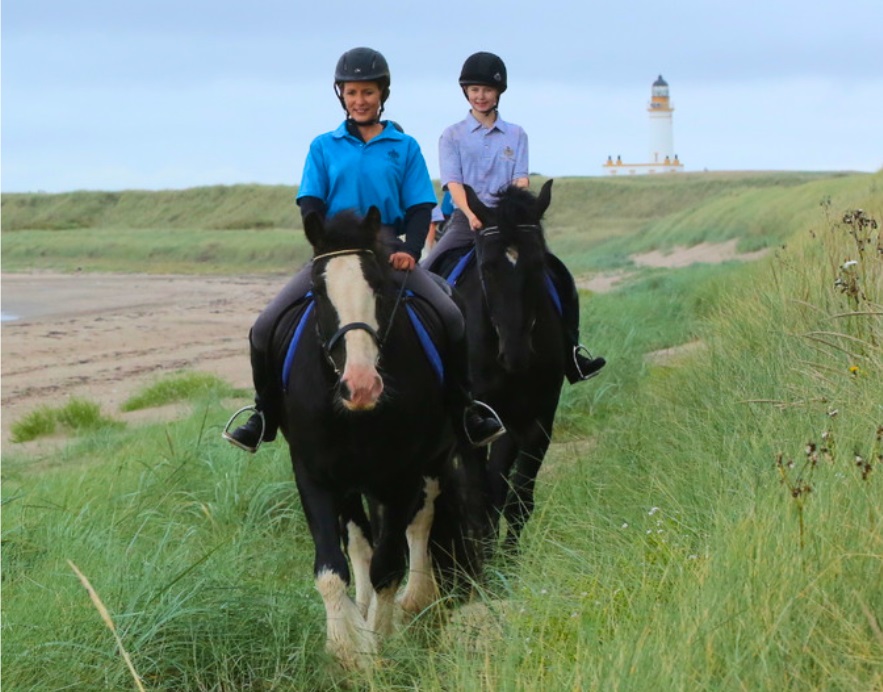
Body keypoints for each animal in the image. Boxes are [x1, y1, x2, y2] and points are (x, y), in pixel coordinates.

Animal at [272, 207, 486, 672]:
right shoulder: (314, 475)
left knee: (421, 522)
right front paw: (344, 646)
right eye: (318, 290)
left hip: (434, 460)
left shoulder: (401, 475)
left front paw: (376, 647)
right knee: (359, 542)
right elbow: (333, 567)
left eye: (381, 288)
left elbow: (388, 563)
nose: (362, 386)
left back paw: (415, 599)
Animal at [456, 181, 568, 556]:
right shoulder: (473, 426)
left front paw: (509, 560)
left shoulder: (536, 419)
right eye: (488, 267)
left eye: (537, 264)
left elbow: (518, 497)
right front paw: (488, 563)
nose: (515, 355)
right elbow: (479, 496)